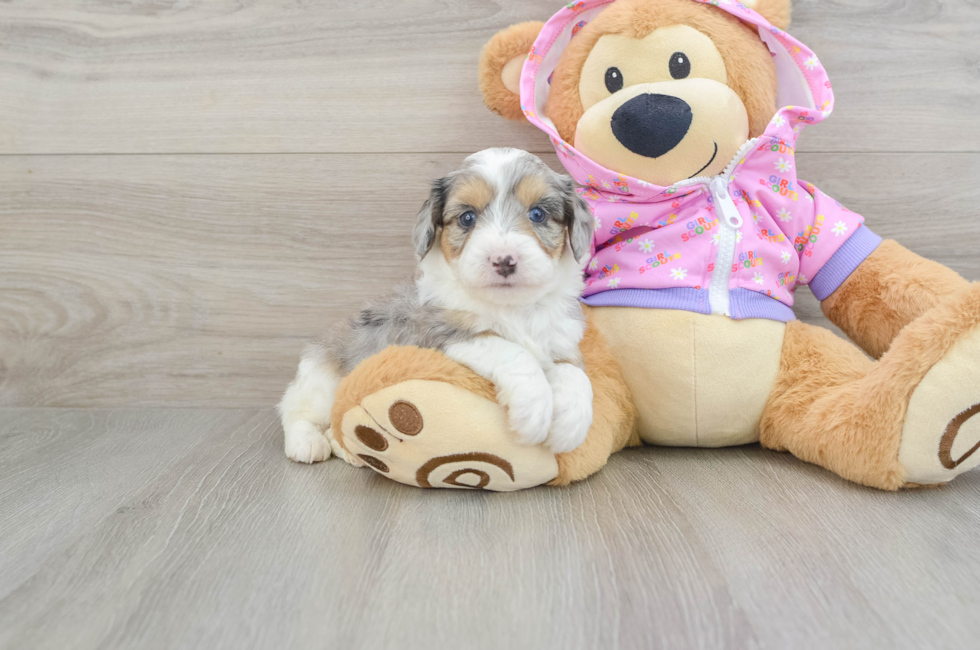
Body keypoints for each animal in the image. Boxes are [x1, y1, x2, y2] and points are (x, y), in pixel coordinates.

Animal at [278, 147, 596, 460]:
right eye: (467, 218)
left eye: (538, 214)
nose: (504, 260)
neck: (513, 308)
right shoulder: (438, 333)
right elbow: (513, 352)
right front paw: (534, 411)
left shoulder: (563, 340)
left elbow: (577, 375)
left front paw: (570, 425)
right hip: (321, 382)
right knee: (294, 410)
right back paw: (308, 442)